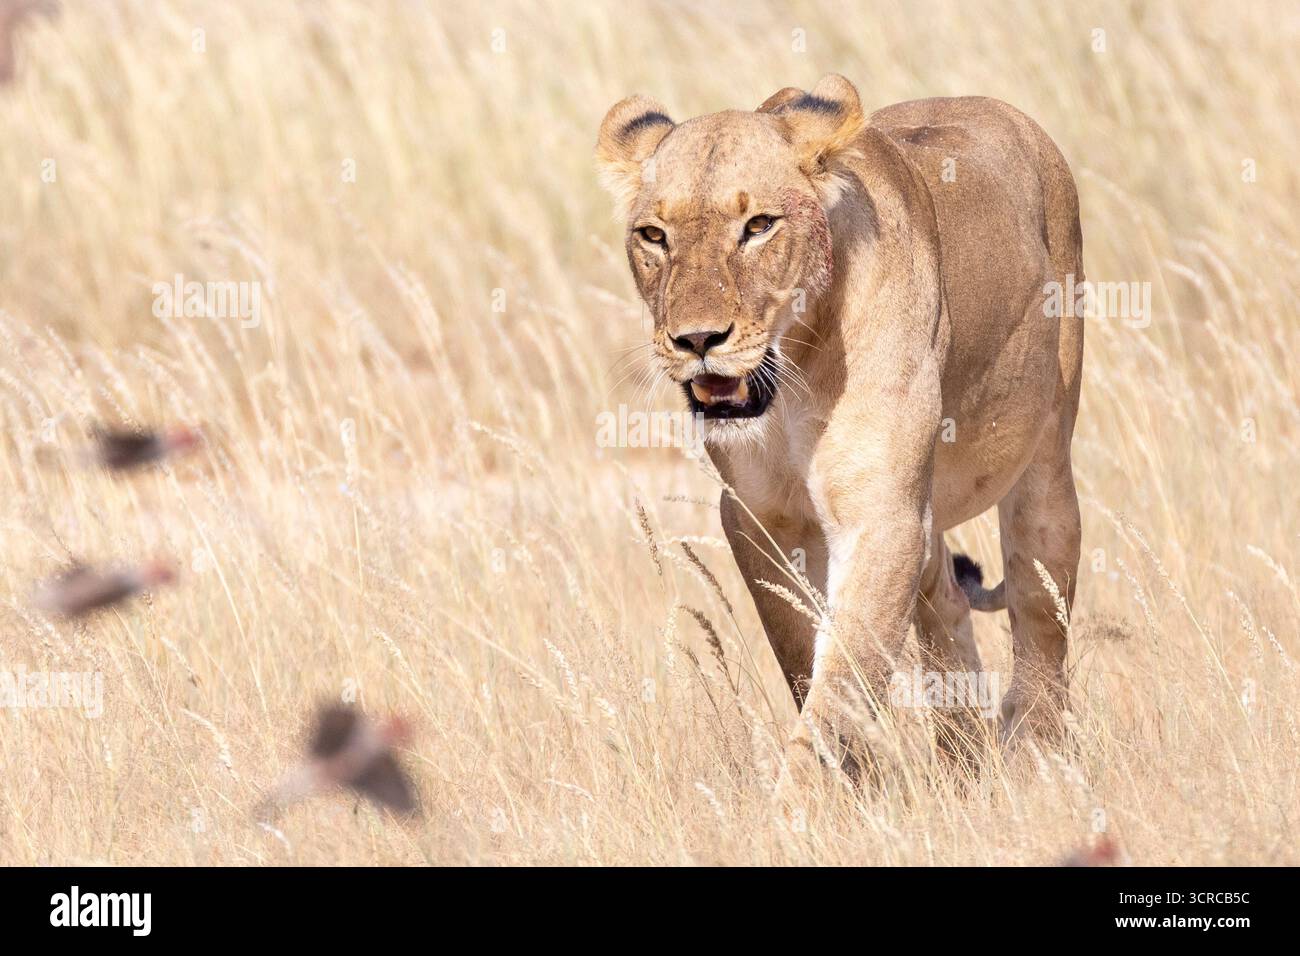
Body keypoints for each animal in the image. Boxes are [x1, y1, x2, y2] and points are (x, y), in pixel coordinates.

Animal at [596, 75, 1084, 771]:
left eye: (759, 226)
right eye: (654, 235)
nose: (698, 340)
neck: (790, 376)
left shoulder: (881, 515)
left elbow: (841, 680)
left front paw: (807, 794)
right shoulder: (759, 518)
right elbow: (809, 661)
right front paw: (857, 776)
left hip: (1045, 465)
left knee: (1040, 606)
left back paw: (1034, 754)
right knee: (946, 604)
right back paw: (963, 756)